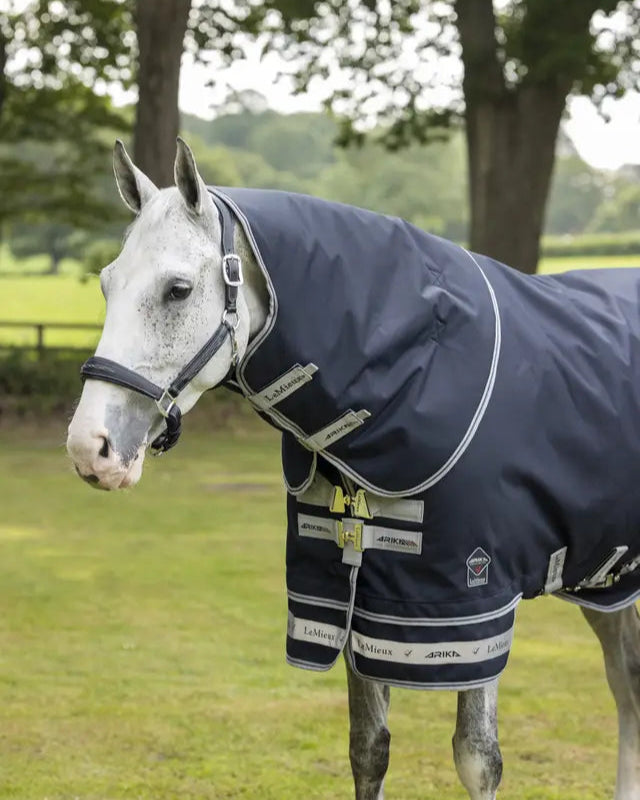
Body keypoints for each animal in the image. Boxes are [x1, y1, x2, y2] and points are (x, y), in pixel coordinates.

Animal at [67, 138, 640, 800]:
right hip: (604, 577)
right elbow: (368, 750)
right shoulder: (357, 594)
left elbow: (477, 757)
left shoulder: (471, 610)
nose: (90, 447)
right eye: (106, 284)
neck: (415, 372)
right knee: (628, 684)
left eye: (178, 290)